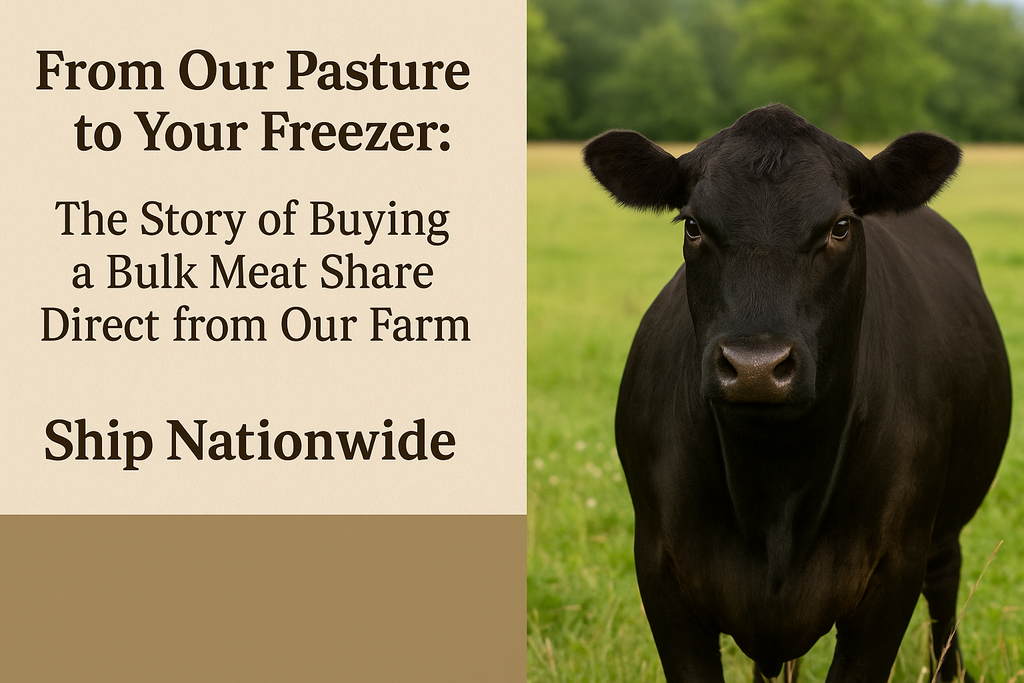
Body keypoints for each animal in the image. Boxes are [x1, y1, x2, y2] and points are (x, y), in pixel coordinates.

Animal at [583, 104, 1011, 683]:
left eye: (840, 227)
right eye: (693, 226)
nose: (755, 367)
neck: (774, 488)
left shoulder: (894, 571)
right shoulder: (660, 567)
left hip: (944, 531)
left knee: (944, 594)